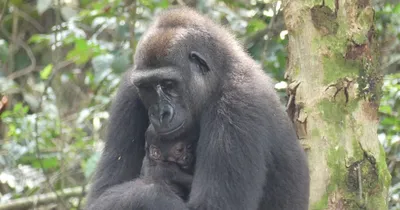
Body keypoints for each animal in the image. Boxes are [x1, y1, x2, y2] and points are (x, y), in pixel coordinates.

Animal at [83, 5, 310, 209]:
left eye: (168, 84)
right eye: (146, 88)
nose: (160, 114)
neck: (218, 75)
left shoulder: (238, 106)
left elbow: (210, 205)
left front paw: (157, 177)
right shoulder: (128, 91)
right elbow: (101, 193)